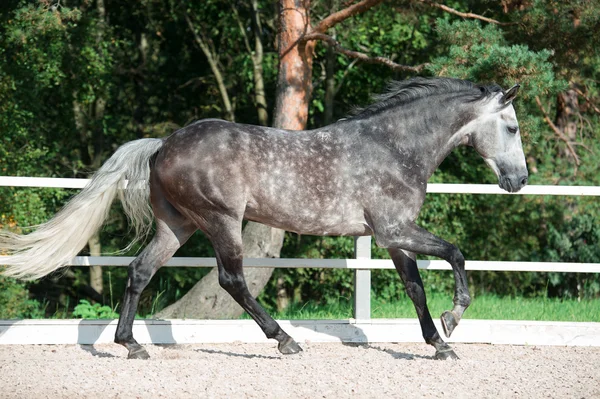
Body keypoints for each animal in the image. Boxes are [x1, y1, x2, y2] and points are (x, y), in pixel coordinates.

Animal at [0, 77, 524, 360]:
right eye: (513, 127)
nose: (518, 180)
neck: (394, 148)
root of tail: (162, 144)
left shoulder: (394, 238)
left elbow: (416, 289)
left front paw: (440, 344)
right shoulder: (395, 229)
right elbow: (457, 253)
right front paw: (454, 319)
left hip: (177, 226)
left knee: (140, 272)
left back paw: (132, 345)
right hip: (221, 221)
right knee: (231, 280)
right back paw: (285, 340)